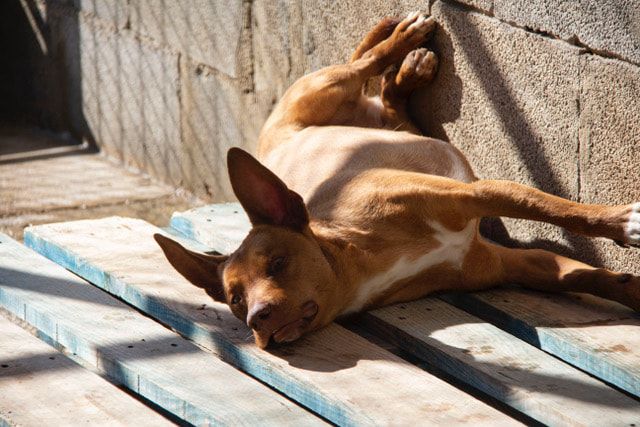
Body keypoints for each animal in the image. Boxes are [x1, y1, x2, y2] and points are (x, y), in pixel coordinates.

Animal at [154, 12, 640, 349]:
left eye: (277, 264)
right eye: (234, 300)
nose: (257, 318)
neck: (365, 253)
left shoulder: (479, 194)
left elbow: (559, 209)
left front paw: (621, 225)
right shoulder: (514, 264)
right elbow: (585, 275)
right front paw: (628, 287)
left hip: (325, 87)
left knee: (361, 63)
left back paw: (401, 41)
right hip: (384, 120)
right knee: (388, 98)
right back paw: (408, 68)